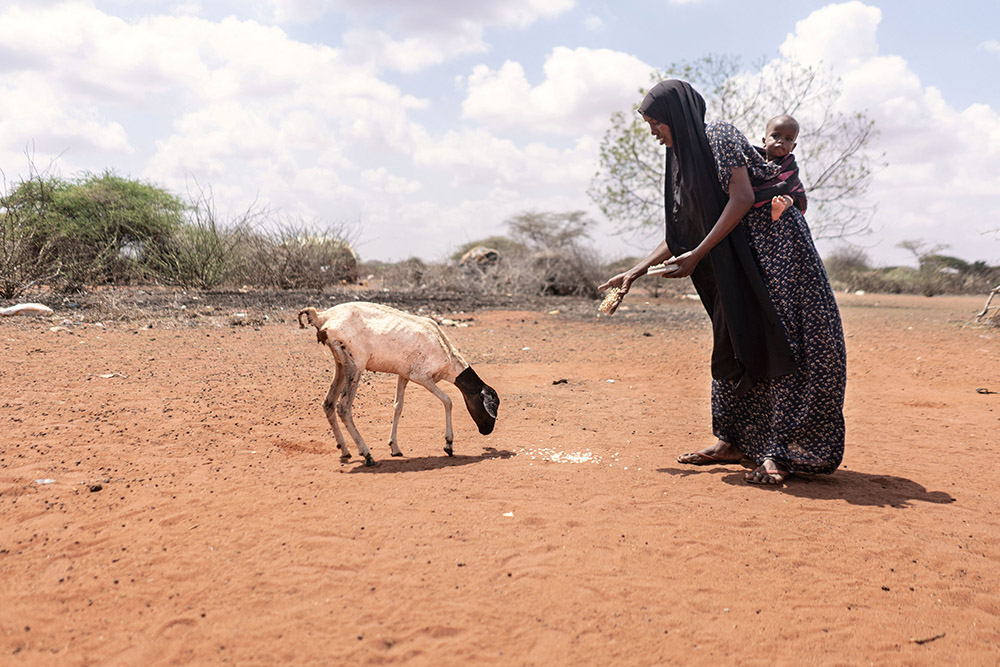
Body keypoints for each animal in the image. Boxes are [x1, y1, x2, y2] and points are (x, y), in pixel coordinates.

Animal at [296, 300, 500, 468]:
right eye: (493, 404)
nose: (487, 430)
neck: (445, 351)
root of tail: (323, 316)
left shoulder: (404, 375)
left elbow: (398, 406)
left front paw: (394, 447)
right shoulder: (421, 376)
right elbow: (448, 400)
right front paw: (448, 444)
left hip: (340, 363)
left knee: (329, 403)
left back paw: (345, 450)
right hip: (355, 365)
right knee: (343, 407)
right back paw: (366, 454)